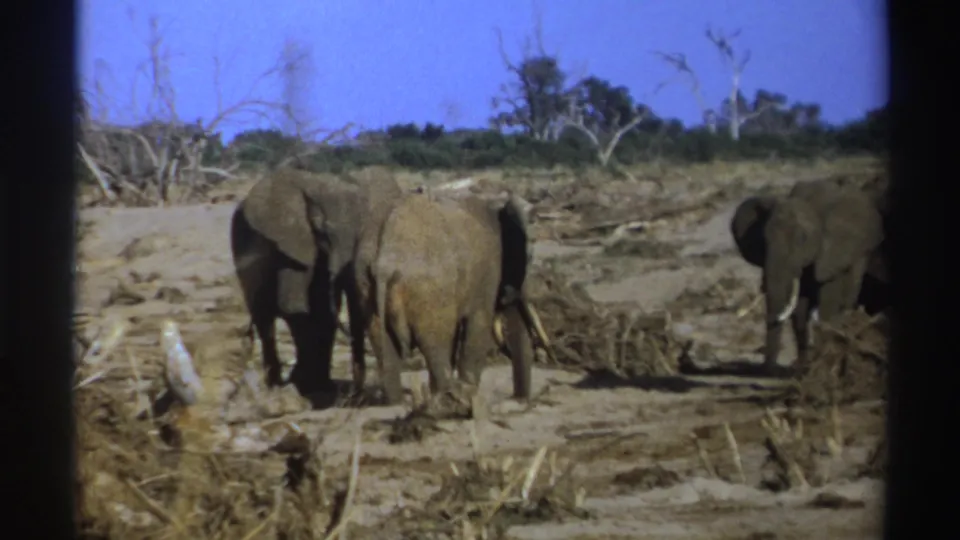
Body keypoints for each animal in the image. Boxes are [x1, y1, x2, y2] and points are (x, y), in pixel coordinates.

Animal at [229, 166, 403, 397]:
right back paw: (275, 384)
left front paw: (317, 385)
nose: (356, 392)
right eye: (323, 232)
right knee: (264, 319)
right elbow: (295, 307)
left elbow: (323, 311)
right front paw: (304, 383)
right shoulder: (293, 245)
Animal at [352, 192, 552, 404]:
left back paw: (400, 402)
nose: (519, 399)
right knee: (435, 342)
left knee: (385, 344)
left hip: (364, 281)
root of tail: (384, 260)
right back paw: (449, 396)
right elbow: (479, 323)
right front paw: (469, 391)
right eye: (529, 257)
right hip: (429, 289)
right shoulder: (488, 270)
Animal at [730, 178, 885, 374]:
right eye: (764, 240)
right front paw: (802, 367)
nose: (769, 370)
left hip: (863, 253)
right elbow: (799, 313)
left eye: (802, 239)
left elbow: (828, 302)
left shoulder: (833, 252)